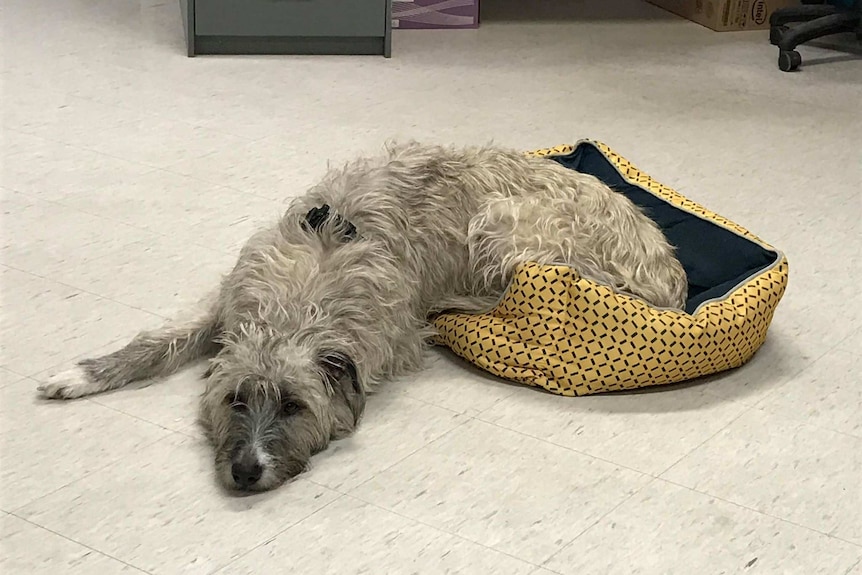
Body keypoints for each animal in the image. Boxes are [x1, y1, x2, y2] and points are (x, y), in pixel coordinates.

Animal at [38, 143, 688, 490]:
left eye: (294, 407)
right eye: (235, 401)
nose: (247, 471)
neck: (302, 300)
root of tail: (667, 270)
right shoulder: (225, 301)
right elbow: (159, 340)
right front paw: (83, 374)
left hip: (505, 225)